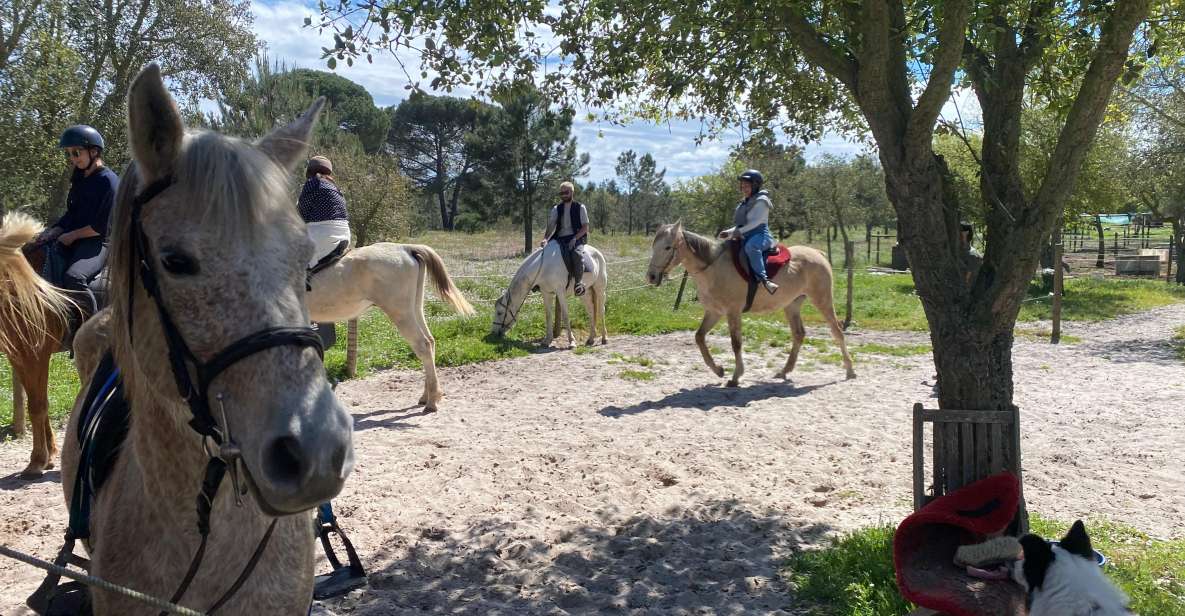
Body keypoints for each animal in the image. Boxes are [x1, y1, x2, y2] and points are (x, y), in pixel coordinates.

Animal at [0, 214, 71, 478]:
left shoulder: (35, 354)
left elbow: (37, 406)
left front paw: (37, 461)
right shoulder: (19, 356)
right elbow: (40, 402)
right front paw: (49, 456)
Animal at [305, 242, 471, 412]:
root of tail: (405, 248)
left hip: (401, 313)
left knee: (423, 345)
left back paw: (432, 402)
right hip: (414, 309)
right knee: (430, 342)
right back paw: (426, 397)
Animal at [649, 221, 853, 383]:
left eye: (667, 247)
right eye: (653, 246)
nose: (651, 276)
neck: (713, 268)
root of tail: (818, 253)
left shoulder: (733, 312)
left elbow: (736, 343)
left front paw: (736, 376)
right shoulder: (714, 312)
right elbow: (699, 337)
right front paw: (719, 370)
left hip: (822, 300)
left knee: (837, 331)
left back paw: (850, 371)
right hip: (792, 305)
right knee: (799, 334)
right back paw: (784, 371)